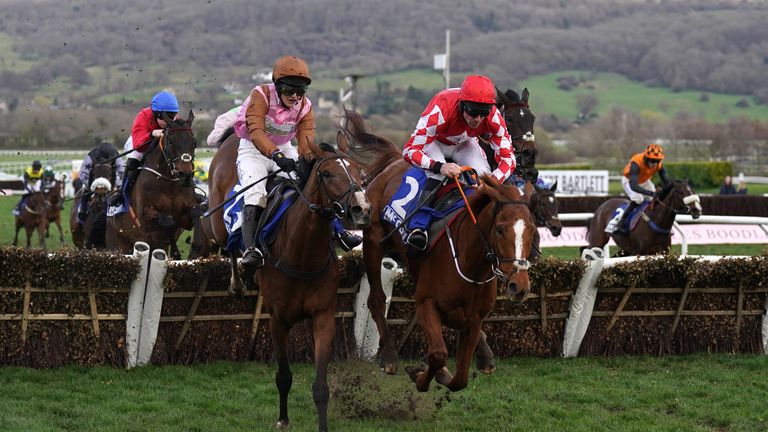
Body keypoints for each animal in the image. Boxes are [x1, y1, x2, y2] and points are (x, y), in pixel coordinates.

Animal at [105, 112, 201, 260]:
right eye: (170, 141)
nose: (185, 175)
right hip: (118, 244)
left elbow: (195, 214)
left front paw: (193, 249)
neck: (169, 183)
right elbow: (168, 220)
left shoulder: (187, 214)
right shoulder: (144, 216)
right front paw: (176, 252)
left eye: (194, 142)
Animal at [204, 133, 372, 430]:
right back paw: (238, 280)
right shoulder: (278, 320)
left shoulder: (323, 317)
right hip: (218, 223)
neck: (303, 254)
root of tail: (233, 137)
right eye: (327, 173)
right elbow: (283, 375)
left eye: (358, 172)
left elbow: (321, 387)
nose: (360, 209)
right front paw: (283, 419)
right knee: (229, 243)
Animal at [342, 110, 536, 392]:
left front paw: (462, 366)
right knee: (376, 300)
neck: (471, 266)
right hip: (374, 242)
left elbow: (459, 379)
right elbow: (438, 355)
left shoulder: (474, 320)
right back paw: (389, 357)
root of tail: (394, 162)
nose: (518, 287)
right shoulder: (426, 304)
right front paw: (419, 374)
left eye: (532, 229)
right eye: (500, 229)